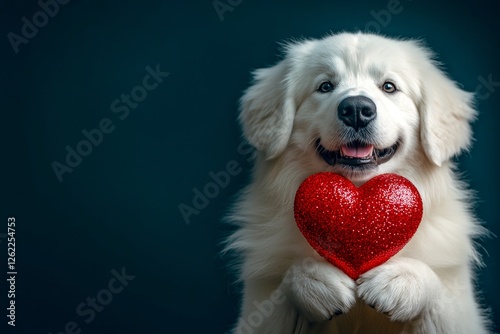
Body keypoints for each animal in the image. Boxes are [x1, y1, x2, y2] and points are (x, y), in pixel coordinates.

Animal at [228, 33, 492, 334]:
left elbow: (437, 292)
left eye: (389, 86)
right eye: (325, 86)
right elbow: (284, 290)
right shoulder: (257, 307)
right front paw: (315, 280)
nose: (356, 109)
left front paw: (401, 279)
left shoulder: (459, 307)